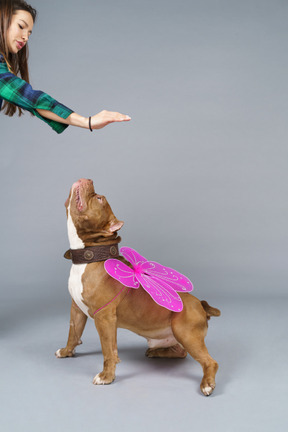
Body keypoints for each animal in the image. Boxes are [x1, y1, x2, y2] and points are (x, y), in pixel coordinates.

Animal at [55, 178, 219, 394]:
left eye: (99, 198)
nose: (88, 179)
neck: (89, 256)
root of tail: (201, 304)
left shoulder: (104, 318)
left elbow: (109, 350)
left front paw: (107, 376)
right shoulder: (76, 309)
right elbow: (73, 334)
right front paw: (67, 351)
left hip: (186, 333)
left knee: (209, 361)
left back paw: (207, 384)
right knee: (180, 352)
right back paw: (157, 353)